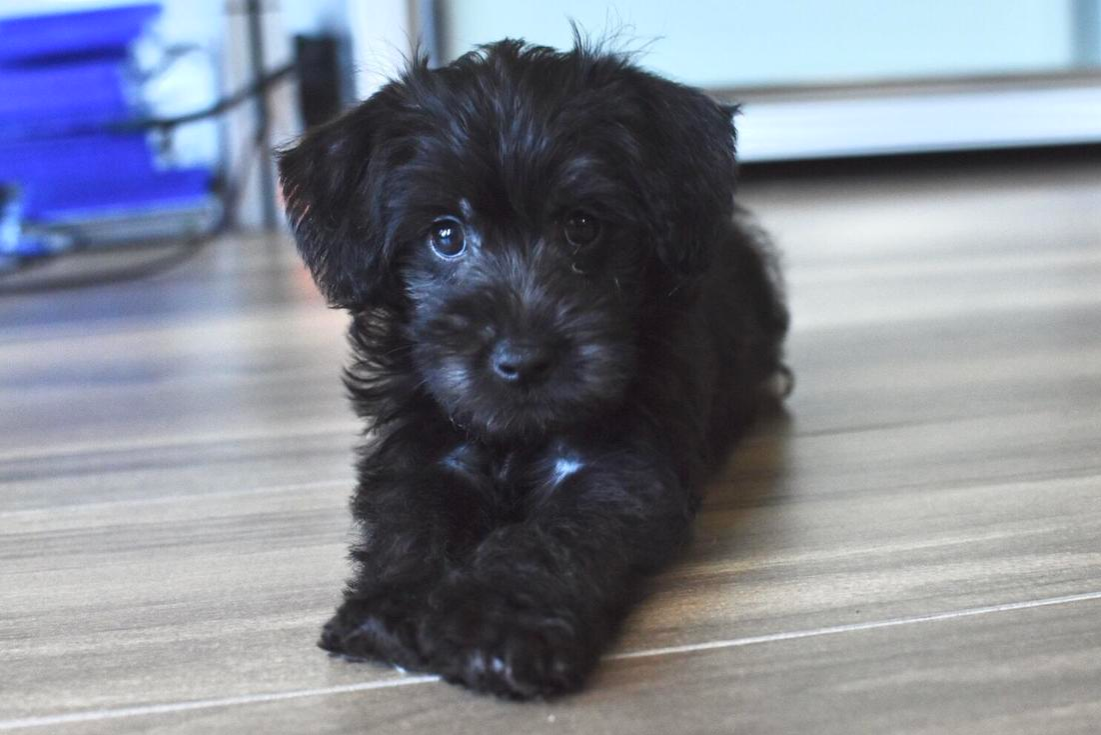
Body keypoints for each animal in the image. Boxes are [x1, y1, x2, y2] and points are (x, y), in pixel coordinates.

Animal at [275, 37, 792, 699]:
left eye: (582, 226)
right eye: (446, 235)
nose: (522, 363)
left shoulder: (613, 467)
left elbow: (547, 540)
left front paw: (498, 627)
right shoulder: (426, 452)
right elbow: (411, 520)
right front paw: (397, 610)